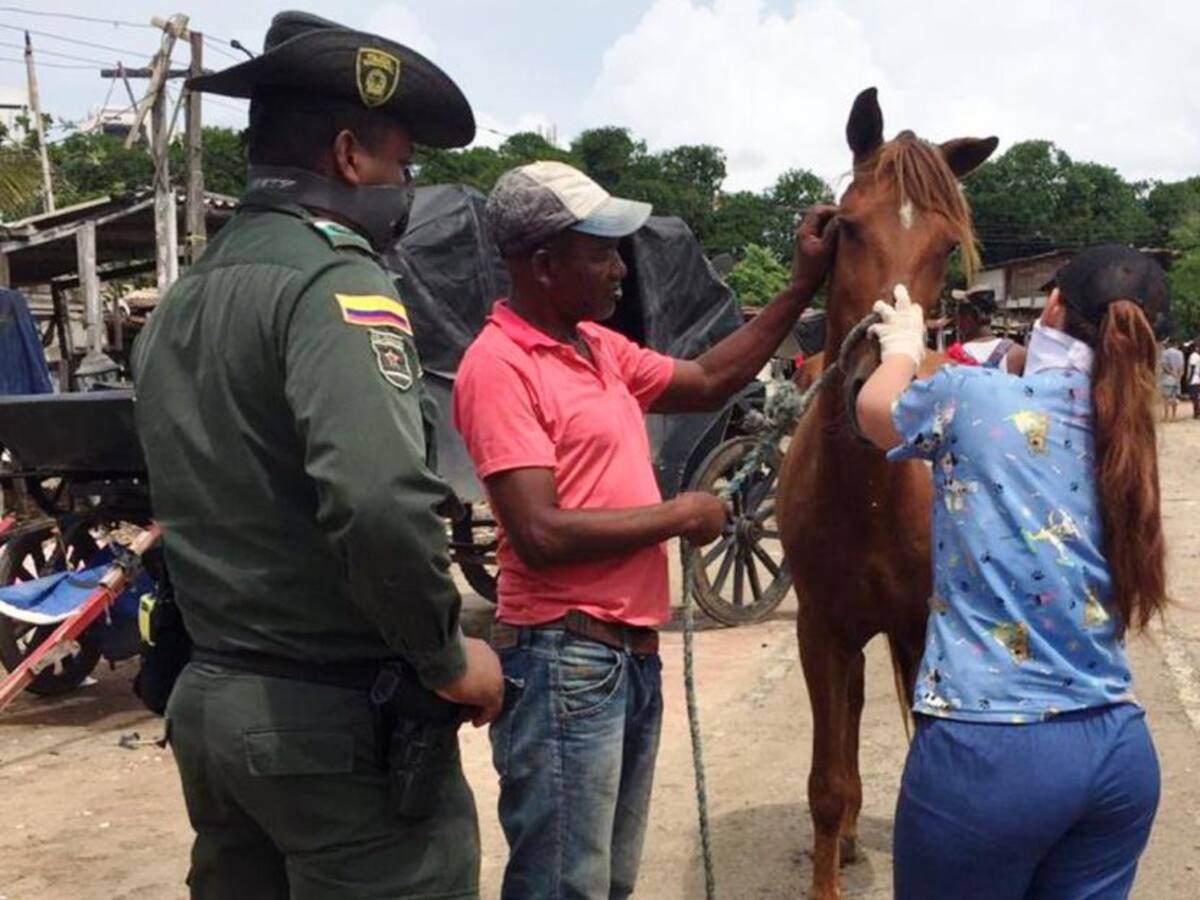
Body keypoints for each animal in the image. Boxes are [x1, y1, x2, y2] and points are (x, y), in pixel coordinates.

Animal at [777, 87, 997, 900]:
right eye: (845, 226)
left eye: (947, 247)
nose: (878, 380)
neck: (866, 493)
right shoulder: (820, 631)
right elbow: (825, 784)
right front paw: (831, 853)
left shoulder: (918, 628)